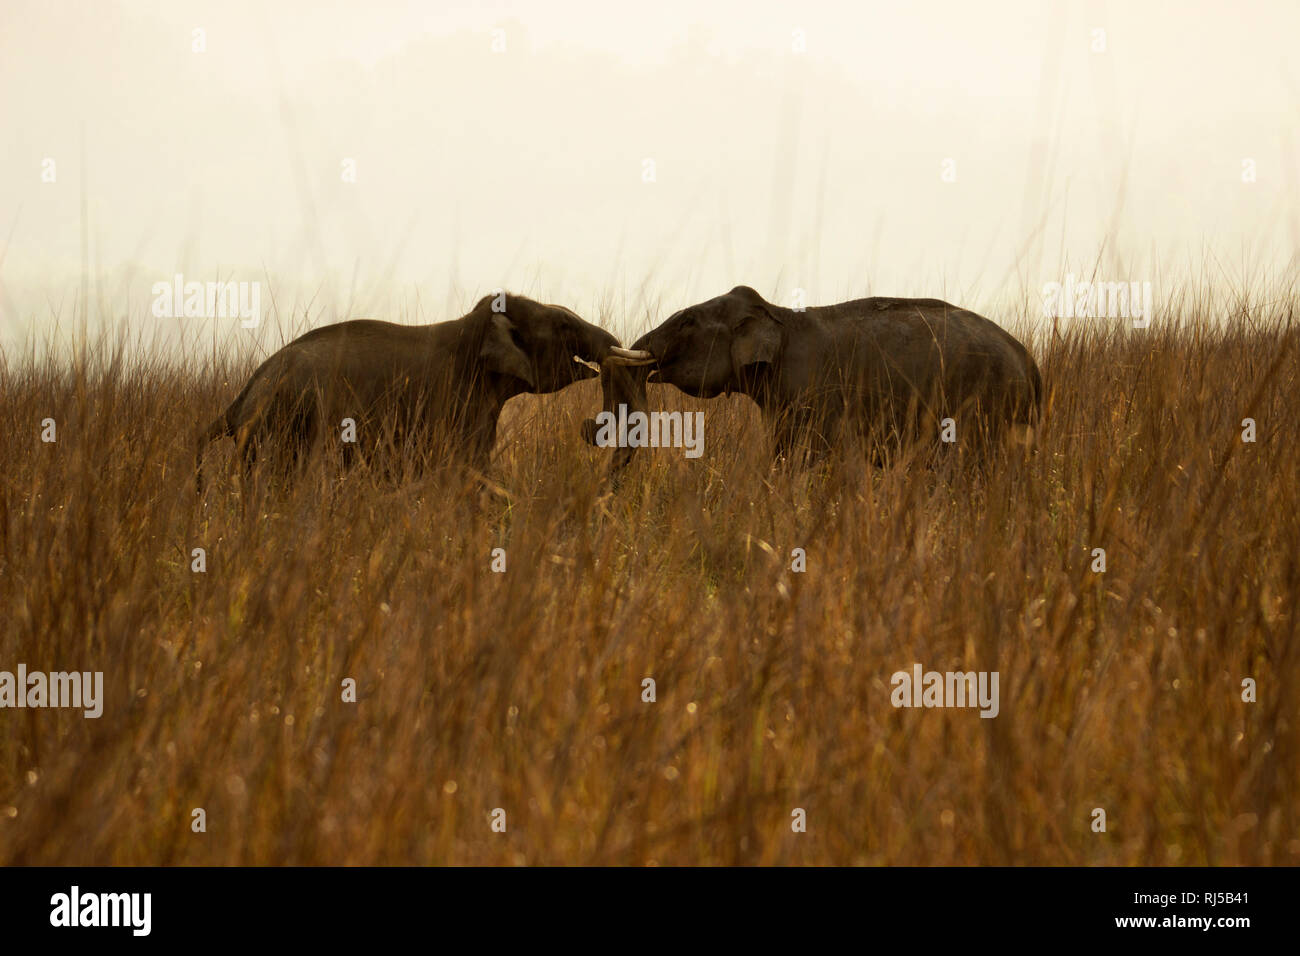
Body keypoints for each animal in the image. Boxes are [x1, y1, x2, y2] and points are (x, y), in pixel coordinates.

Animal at [583, 285, 1042, 474]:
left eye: (688, 322)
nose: (590, 429)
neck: (776, 314)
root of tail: (1030, 362)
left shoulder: (809, 395)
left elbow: (799, 456)